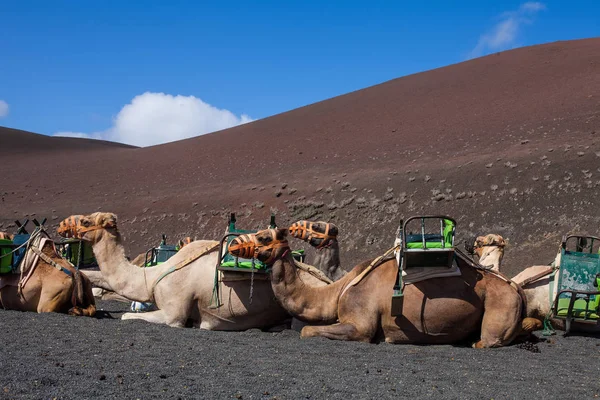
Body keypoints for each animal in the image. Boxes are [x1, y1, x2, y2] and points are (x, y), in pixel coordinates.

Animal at [227, 228, 536, 346]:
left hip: (499, 304)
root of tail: (515, 287)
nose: (232, 245)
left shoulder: (360, 323)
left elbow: (306, 330)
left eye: (263, 237)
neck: (337, 290)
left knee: (488, 340)